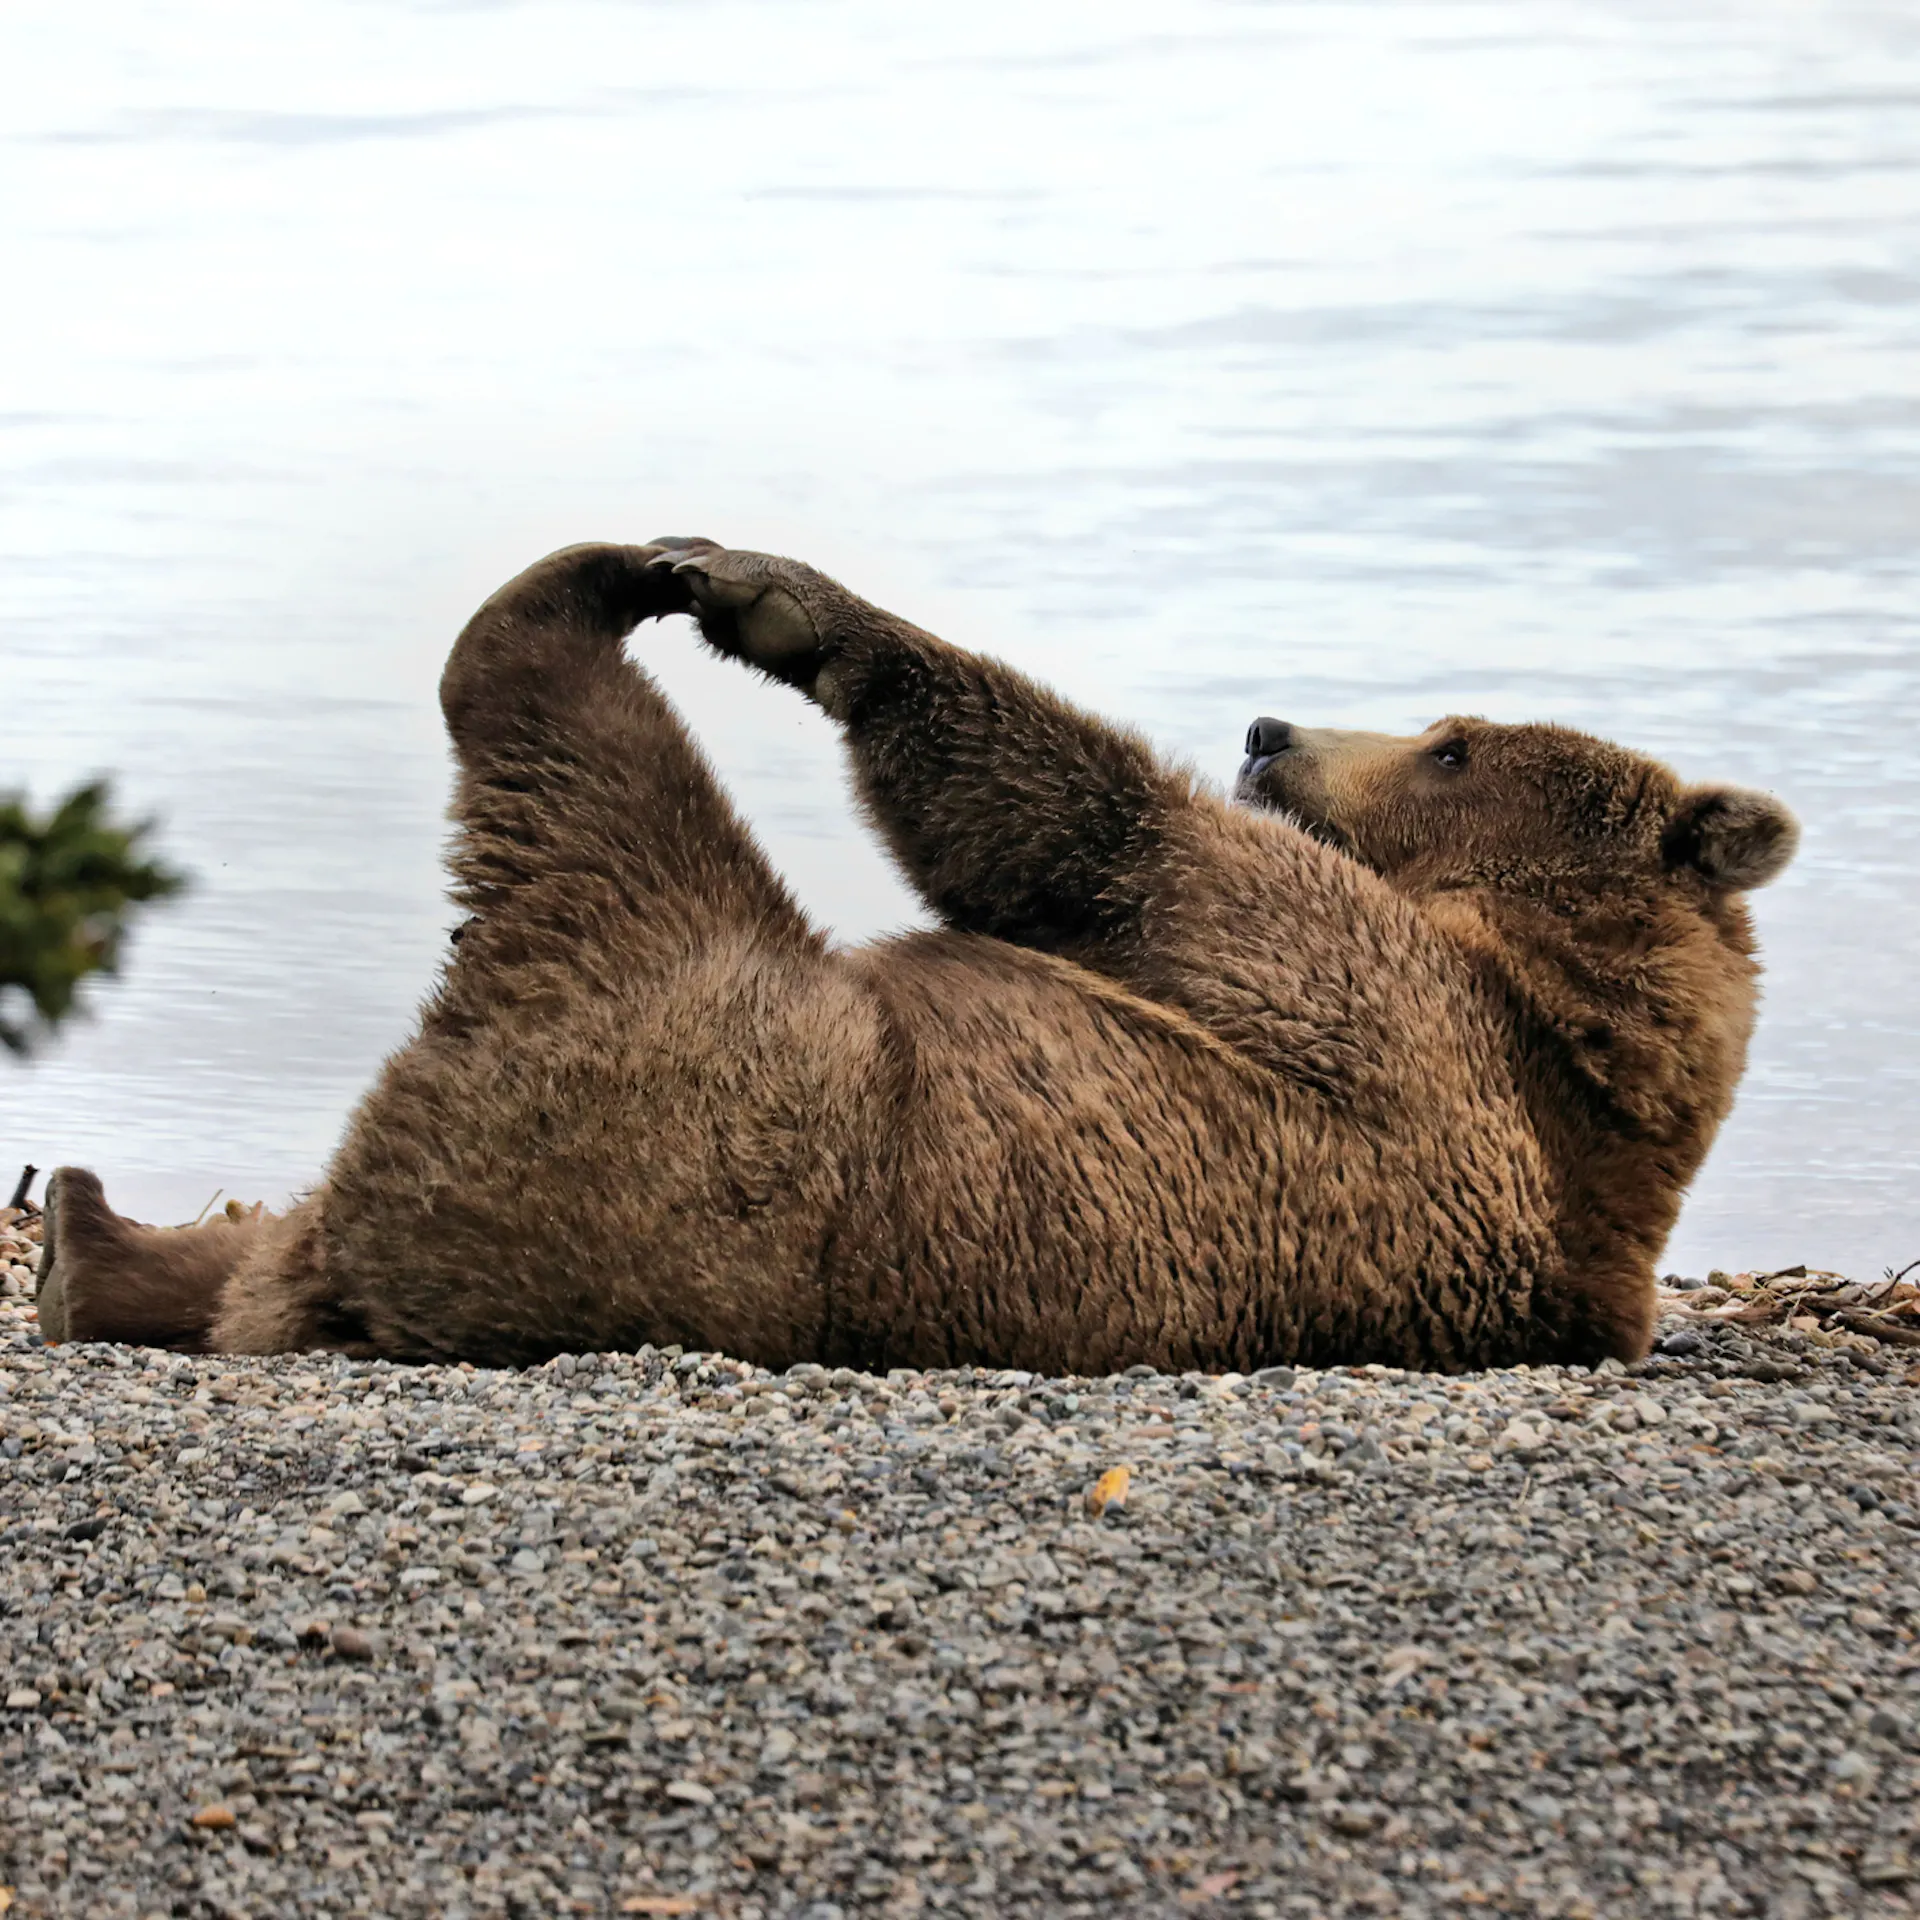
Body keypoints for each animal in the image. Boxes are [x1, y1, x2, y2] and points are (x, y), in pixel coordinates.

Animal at [34, 537, 1798, 1374]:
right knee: (254, 1237)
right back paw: (87, 1236)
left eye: (1449, 746)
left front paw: (781, 603)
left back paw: (584, 591)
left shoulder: (1389, 1019)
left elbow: (1099, 842)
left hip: (683, 1071)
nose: (1270, 731)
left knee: (585, 787)